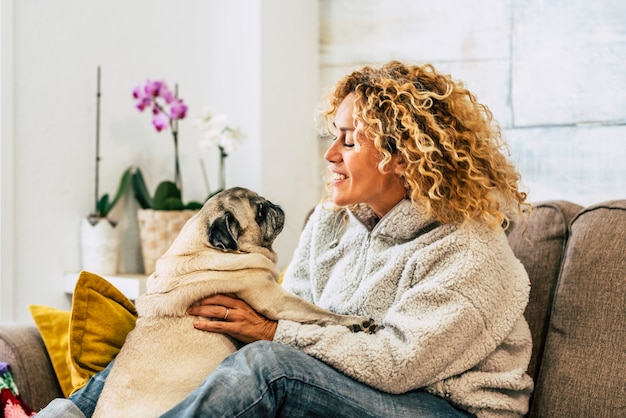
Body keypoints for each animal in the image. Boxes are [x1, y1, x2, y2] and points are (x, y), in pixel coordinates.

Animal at [92, 188, 376, 416]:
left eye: (264, 203)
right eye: (259, 211)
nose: (273, 204)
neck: (201, 247)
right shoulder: (277, 299)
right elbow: (318, 311)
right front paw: (356, 321)